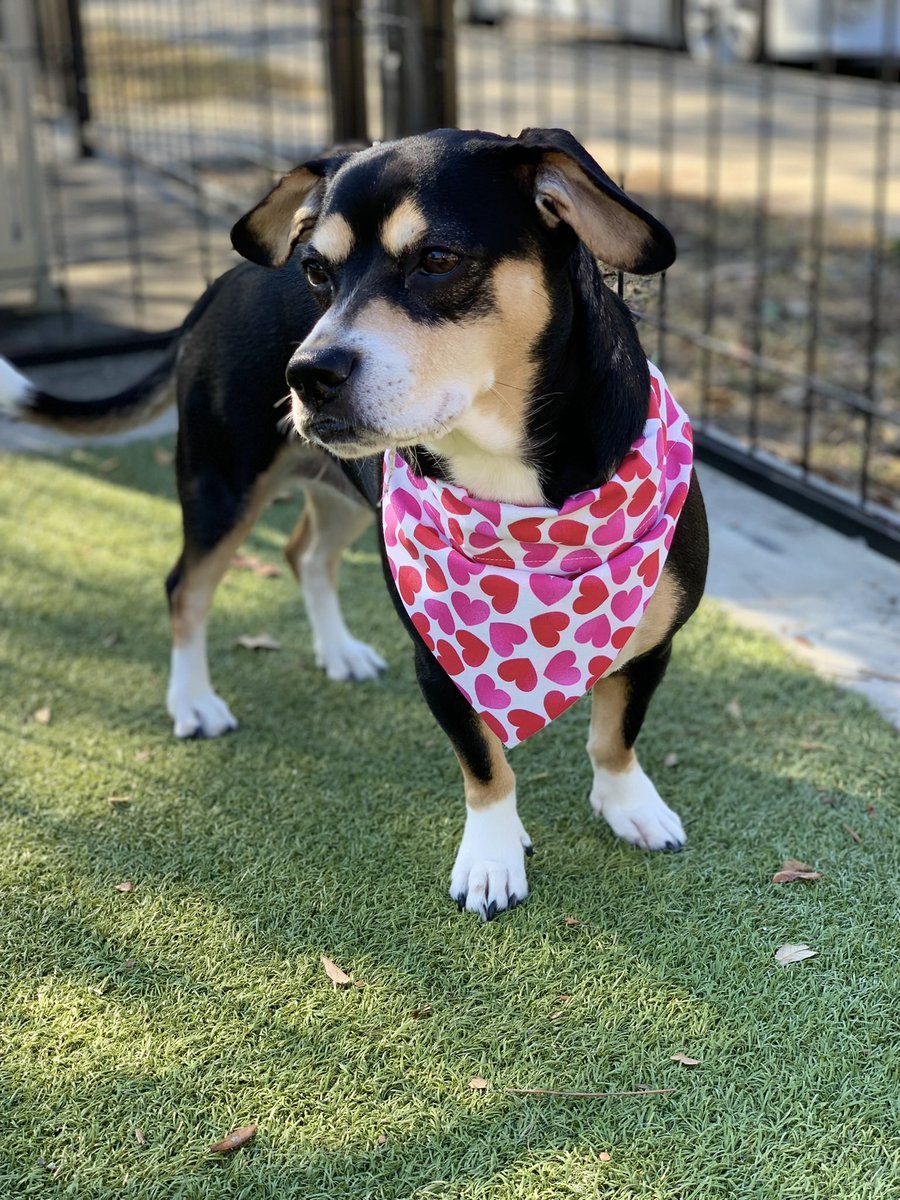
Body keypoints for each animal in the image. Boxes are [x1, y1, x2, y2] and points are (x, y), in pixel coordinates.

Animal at [1, 129, 710, 916]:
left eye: (437, 260)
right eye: (316, 270)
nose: (308, 374)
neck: (519, 491)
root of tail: (220, 285)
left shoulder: (654, 639)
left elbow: (615, 735)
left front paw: (629, 806)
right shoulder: (439, 658)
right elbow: (486, 766)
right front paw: (492, 857)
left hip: (342, 493)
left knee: (305, 555)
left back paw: (337, 651)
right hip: (220, 482)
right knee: (186, 587)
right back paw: (193, 701)